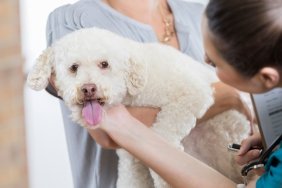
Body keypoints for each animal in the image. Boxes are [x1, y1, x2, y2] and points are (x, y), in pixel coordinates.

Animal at [27, 27, 251, 187]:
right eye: (73, 68)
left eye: (104, 64)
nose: (88, 88)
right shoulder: (131, 155)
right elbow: (132, 176)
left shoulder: (193, 93)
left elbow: (163, 133)